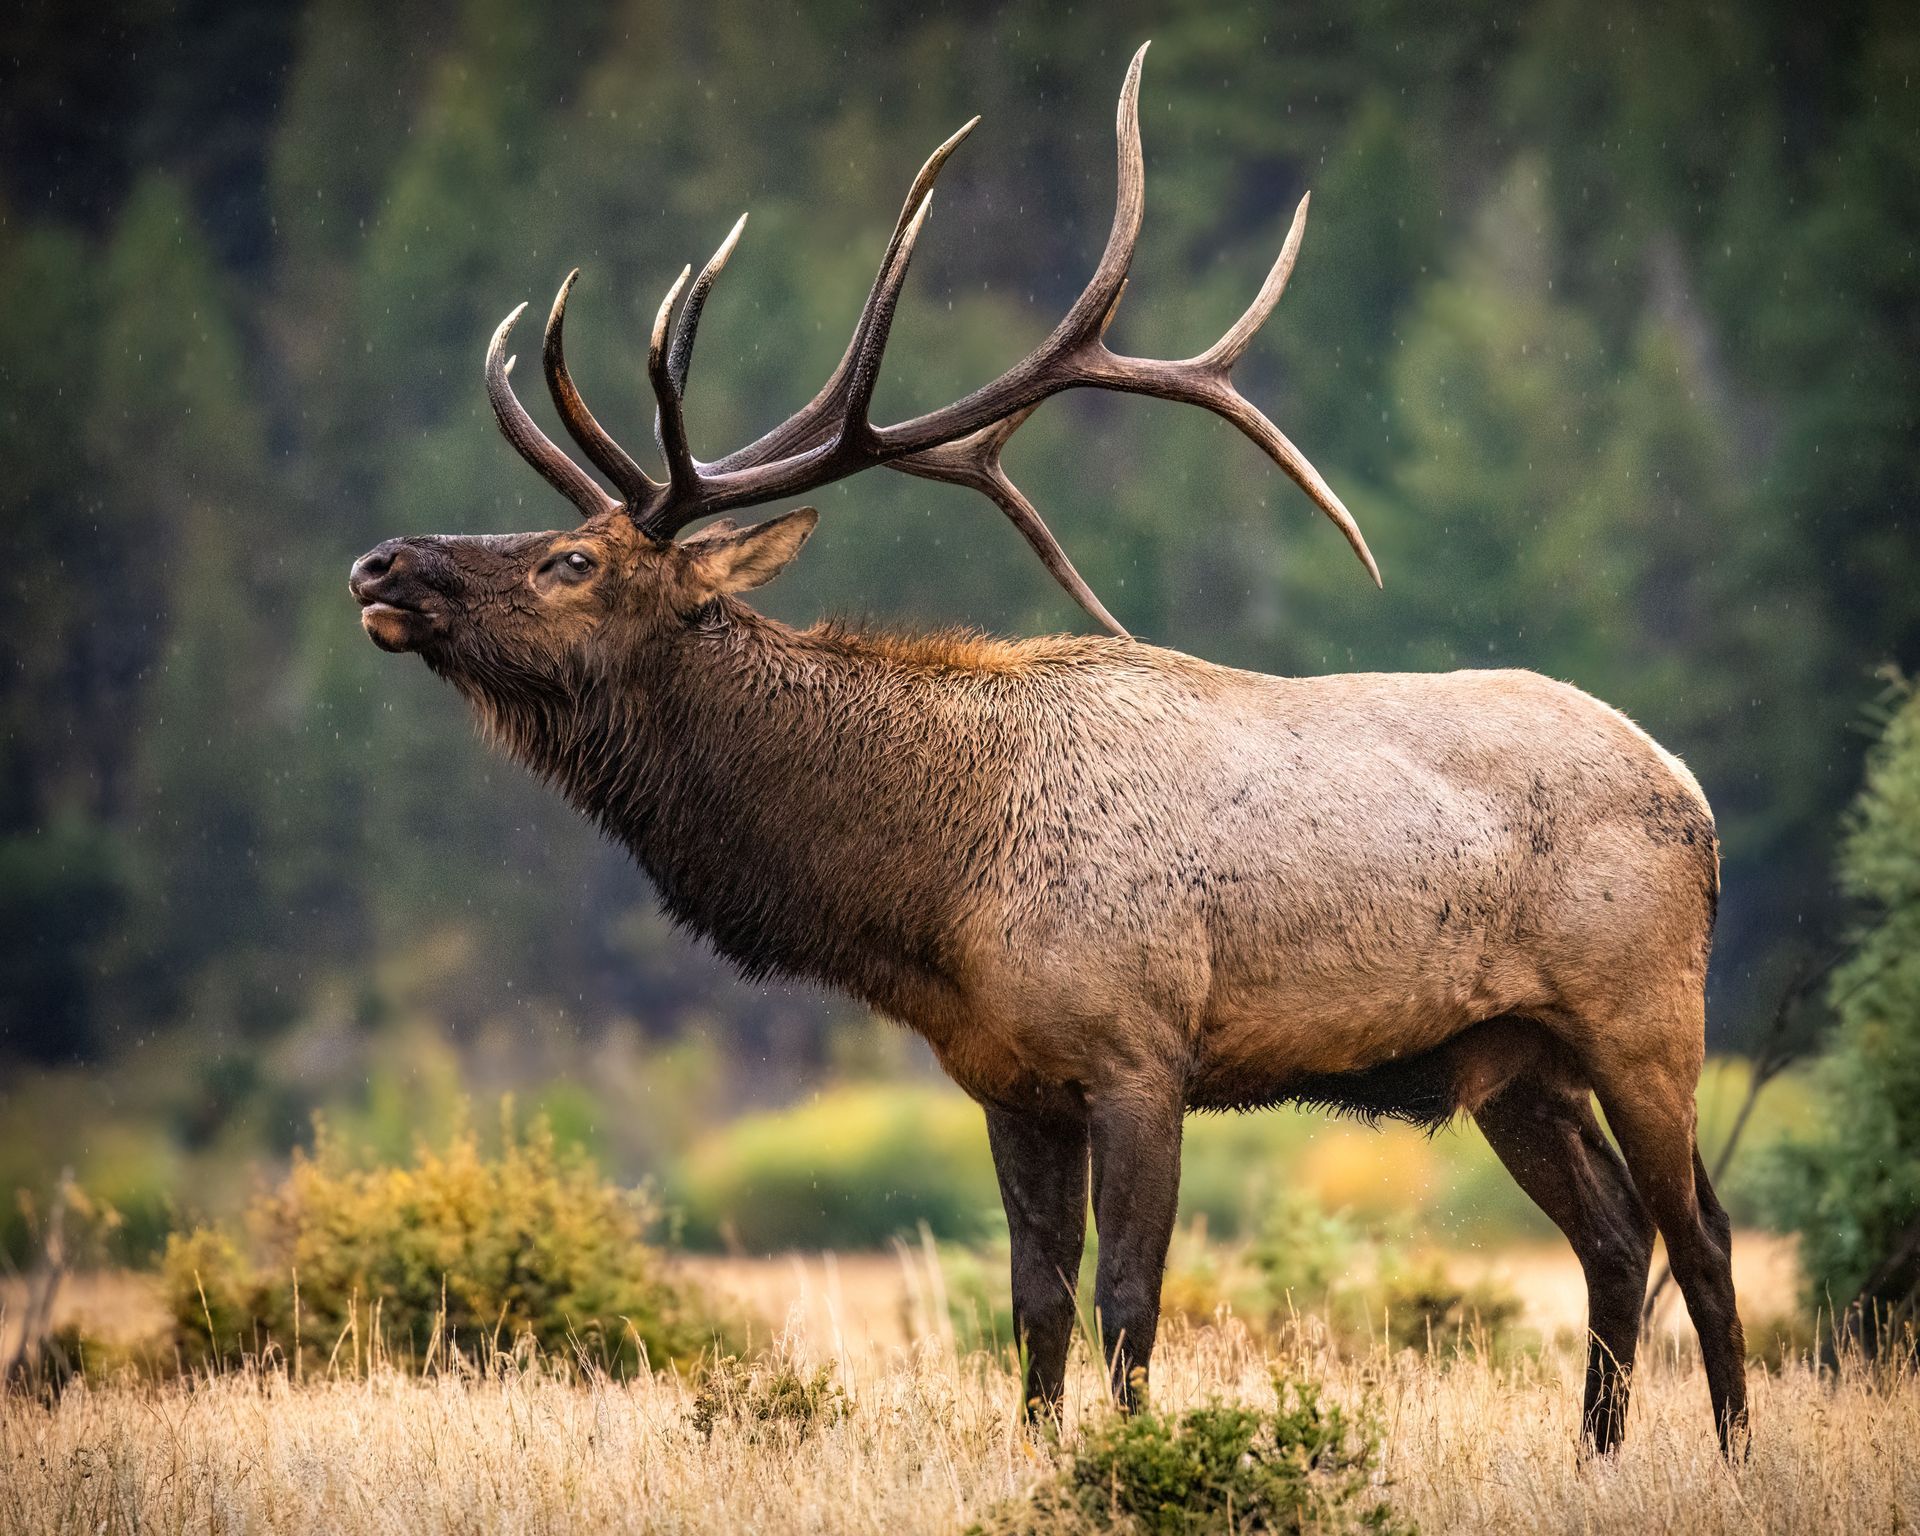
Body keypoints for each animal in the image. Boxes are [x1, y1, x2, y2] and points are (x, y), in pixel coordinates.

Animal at [348, 47, 1745, 1457]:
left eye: (570, 561)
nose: (382, 563)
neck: (932, 896)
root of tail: (1694, 795)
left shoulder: (1142, 1052)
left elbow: (1129, 1300)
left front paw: (1136, 1459)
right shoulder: (1007, 1080)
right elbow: (1035, 1307)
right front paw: (1042, 1454)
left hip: (1642, 1015)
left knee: (1701, 1229)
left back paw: (1730, 1453)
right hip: (1514, 1062)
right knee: (1615, 1237)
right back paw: (1594, 1454)